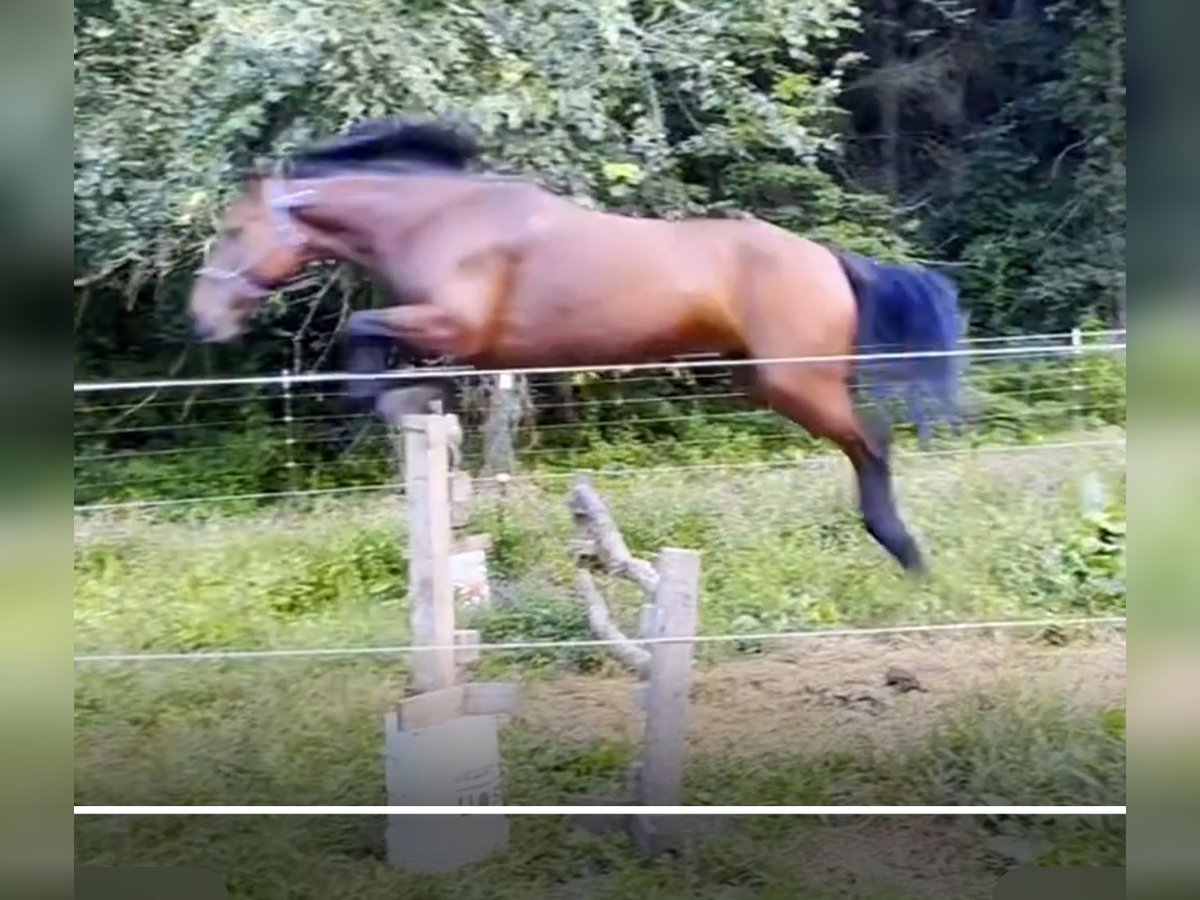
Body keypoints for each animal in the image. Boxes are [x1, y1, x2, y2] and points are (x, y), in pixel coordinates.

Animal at [189, 117, 966, 576]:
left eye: (233, 230)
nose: (204, 319)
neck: (446, 221)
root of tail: (830, 259)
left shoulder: (455, 328)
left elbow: (362, 336)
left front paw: (382, 400)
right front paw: (406, 400)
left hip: (796, 382)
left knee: (872, 441)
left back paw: (902, 550)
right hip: (764, 380)